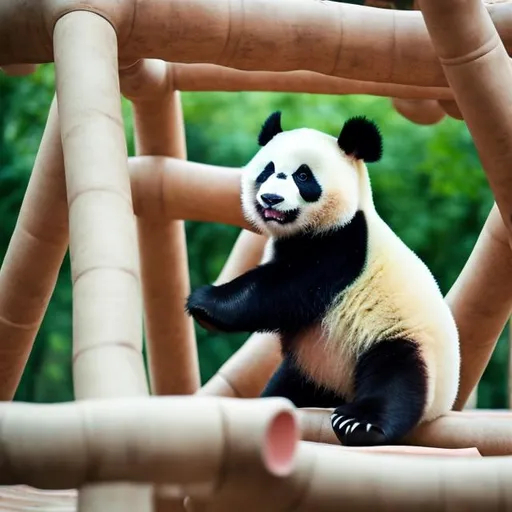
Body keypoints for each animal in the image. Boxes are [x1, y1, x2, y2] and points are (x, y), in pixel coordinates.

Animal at [187, 110, 460, 446]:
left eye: (303, 176)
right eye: (268, 170)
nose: (271, 199)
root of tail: (444, 404)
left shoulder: (344, 244)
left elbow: (284, 288)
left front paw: (205, 302)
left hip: (400, 338)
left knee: (396, 378)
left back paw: (360, 424)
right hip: (314, 366)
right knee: (288, 385)